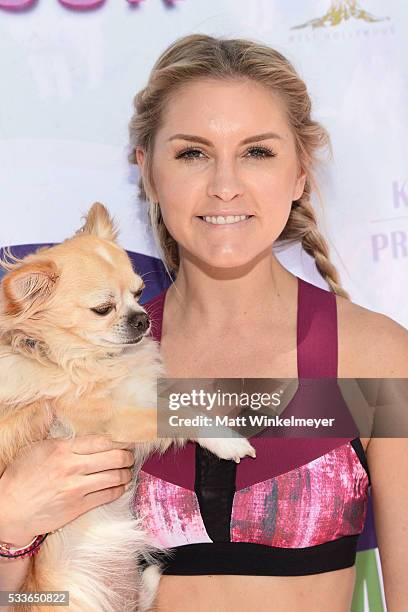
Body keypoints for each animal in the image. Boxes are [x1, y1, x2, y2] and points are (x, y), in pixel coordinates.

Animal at [0, 204, 255, 612]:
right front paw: (225, 440)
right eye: (102, 309)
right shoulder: (114, 421)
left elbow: (179, 399)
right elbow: (174, 415)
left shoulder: (144, 387)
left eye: (139, 292)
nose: (142, 318)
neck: (87, 359)